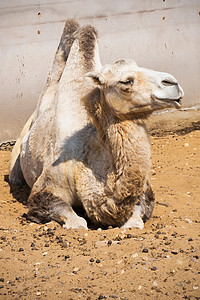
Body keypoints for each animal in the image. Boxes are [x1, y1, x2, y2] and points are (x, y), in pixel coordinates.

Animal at [9, 19, 184, 230]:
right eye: (126, 81)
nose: (172, 83)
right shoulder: (46, 187)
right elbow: (77, 222)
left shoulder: (145, 193)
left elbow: (135, 219)